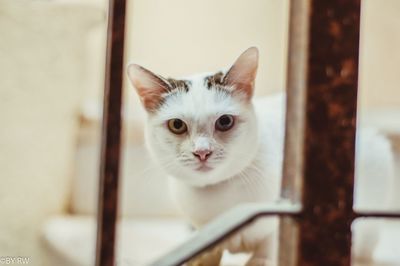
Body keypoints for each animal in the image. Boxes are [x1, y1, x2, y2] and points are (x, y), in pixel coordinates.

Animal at [126, 46, 396, 264]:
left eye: (224, 121)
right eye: (177, 125)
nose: (202, 152)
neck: (219, 196)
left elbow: (270, 245)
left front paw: (263, 259)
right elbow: (207, 250)